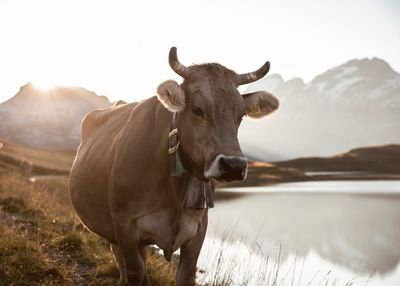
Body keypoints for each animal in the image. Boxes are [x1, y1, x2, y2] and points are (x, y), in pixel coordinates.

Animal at [69, 47, 280, 286]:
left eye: (241, 115)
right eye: (197, 109)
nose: (234, 165)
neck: (173, 193)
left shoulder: (198, 230)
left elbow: (185, 275)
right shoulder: (125, 226)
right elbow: (136, 273)